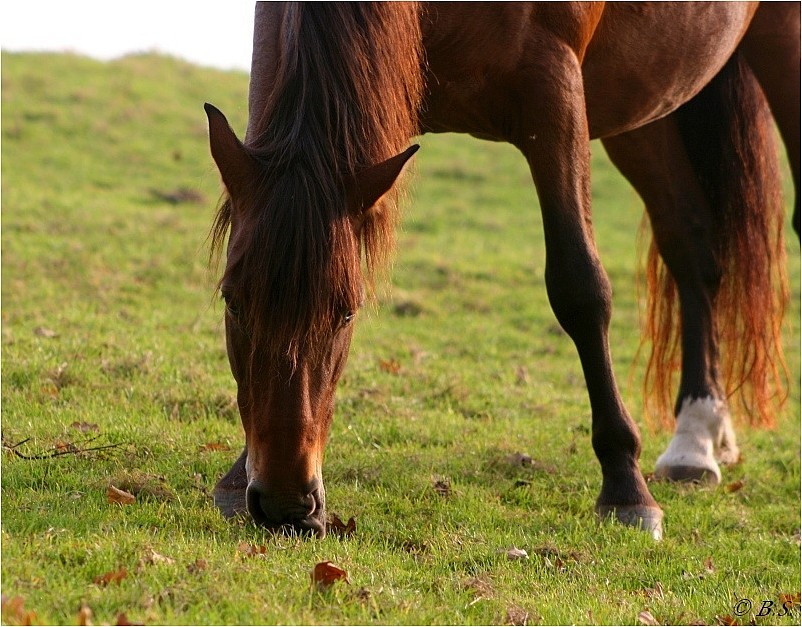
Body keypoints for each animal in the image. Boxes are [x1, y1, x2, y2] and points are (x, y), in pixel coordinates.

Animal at [202, 2, 792, 540]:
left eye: (347, 313)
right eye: (232, 300)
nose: (285, 503)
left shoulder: (554, 90)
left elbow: (580, 287)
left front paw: (625, 487)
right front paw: (237, 475)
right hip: (645, 99)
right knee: (691, 248)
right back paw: (699, 435)